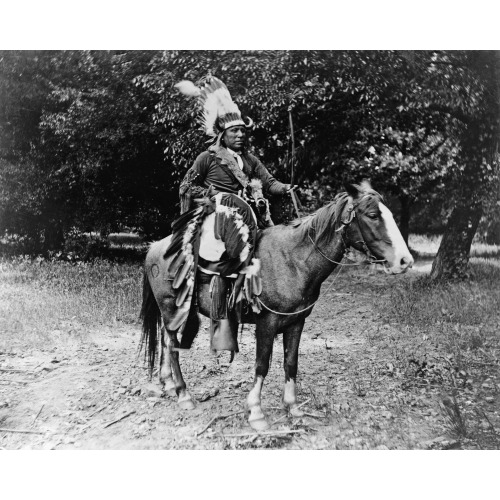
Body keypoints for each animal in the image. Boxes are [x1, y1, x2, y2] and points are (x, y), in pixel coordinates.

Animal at [141, 182, 414, 432]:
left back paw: (168, 383)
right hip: (171, 308)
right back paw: (184, 394)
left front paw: (292, 407)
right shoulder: (267, 323)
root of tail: (155, 247)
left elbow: (290, 362)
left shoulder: (296, 322)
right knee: (173, 347)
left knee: (165, 340)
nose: (405, 261)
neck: (293, 261)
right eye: (372, 215)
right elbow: (262, 365)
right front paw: (256, 412)